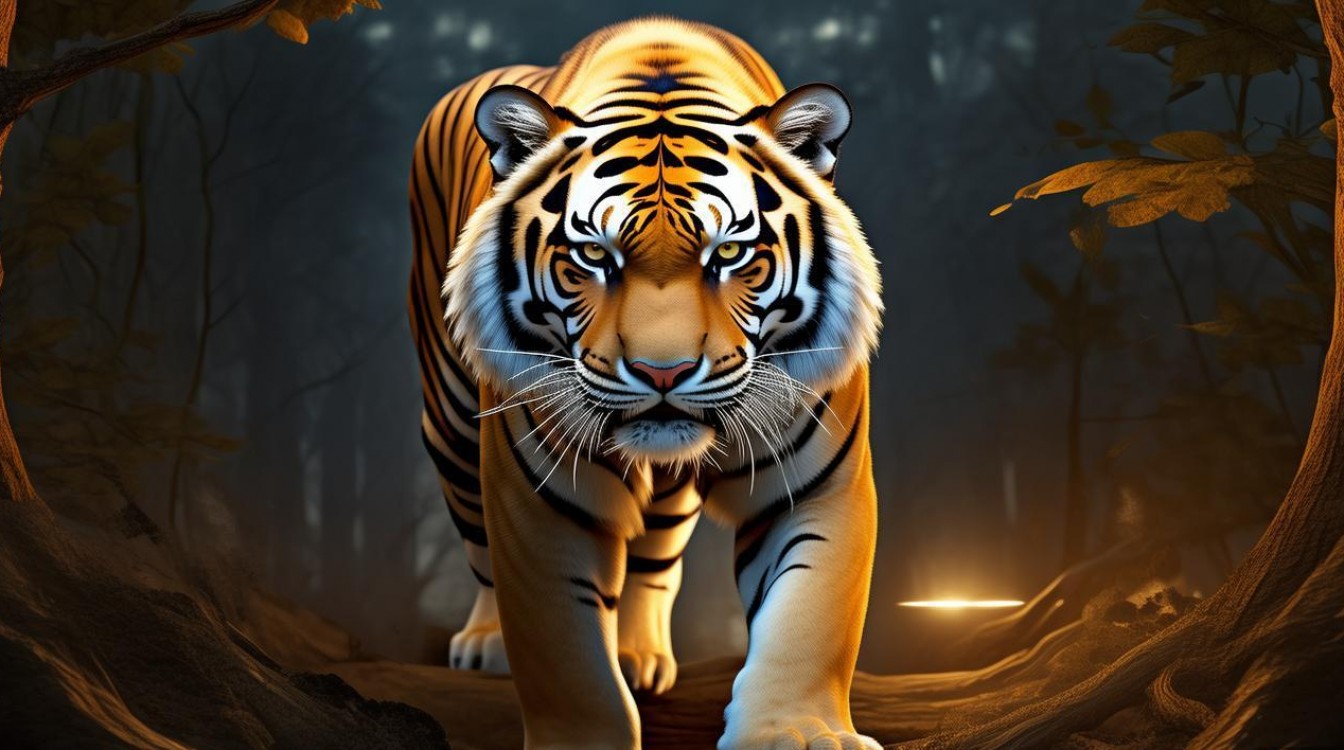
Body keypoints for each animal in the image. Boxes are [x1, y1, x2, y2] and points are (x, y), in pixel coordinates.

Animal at [408, 16, 883, 750]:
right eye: (592, 254)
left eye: (730, 252)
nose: (664, 372)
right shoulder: (539, 497)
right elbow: (561, 647)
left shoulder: (818, 485)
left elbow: (811, 615)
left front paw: (798, 732)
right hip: (452, 423)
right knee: (479, 542)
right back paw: (486, 641)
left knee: (655, 553)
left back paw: (637, 654)